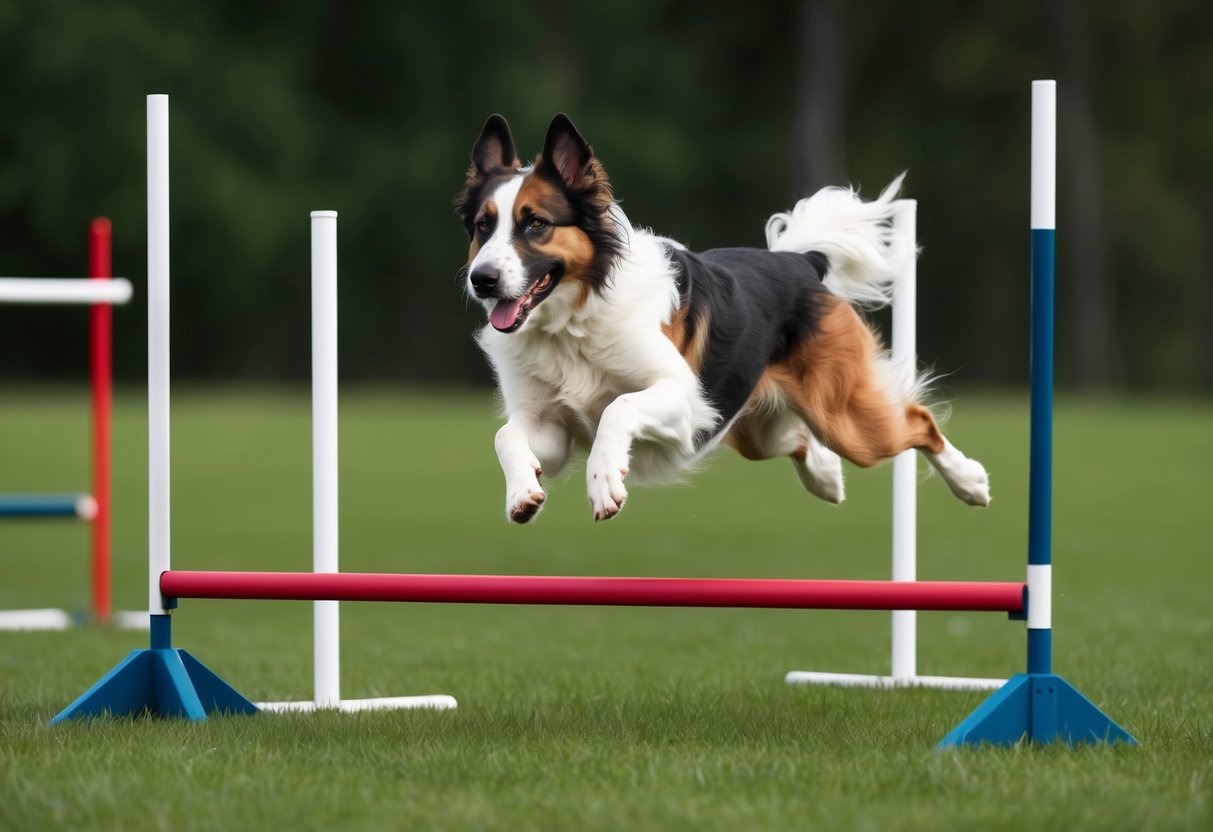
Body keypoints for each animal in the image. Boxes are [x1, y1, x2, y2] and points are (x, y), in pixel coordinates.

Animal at [456, 114, 984, 523]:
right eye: (483, 226)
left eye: (536, 224)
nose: (481, 280)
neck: (572, 321)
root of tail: (800, 261)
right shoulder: (553, 428)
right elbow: (506, 435)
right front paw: (522, 493)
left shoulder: (685, 398)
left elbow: (616, 407)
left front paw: (604, 482)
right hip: (752, 425)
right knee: (797, 438)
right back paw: (826, 477)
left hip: (845, 417)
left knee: (918, 422)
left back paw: (970, 481)